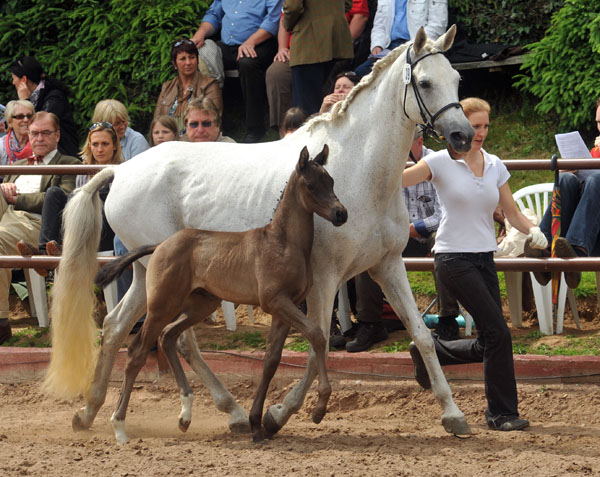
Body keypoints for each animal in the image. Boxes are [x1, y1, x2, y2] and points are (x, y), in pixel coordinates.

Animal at [96, 145, 350, 442]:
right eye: (311, 185)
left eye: (330, 181)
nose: (341, 214)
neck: (283, 242)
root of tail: (160, 245)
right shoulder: (275, 301)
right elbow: (317, 335)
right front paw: (319, 408)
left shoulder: (286, 308)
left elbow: (271, 360)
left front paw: (257, 424)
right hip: (162, 304)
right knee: (138, 350)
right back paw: (119, 427)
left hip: (201, 304)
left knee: (168, 336)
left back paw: (185, 415)